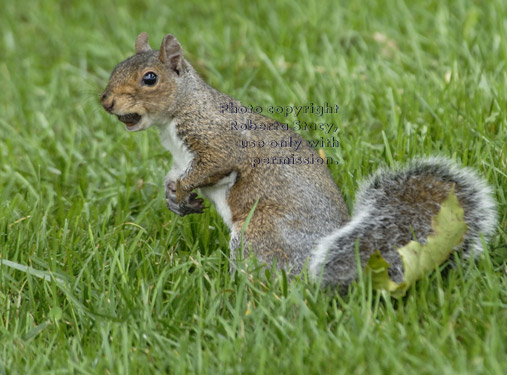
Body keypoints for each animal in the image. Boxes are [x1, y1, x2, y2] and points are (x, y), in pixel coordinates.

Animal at [101, 33, 498, 290]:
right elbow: (178, 174)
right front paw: (174, 196)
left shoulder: (218, 139)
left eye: (149, 78)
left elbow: (215, 164)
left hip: (260, 234)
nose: (105, 101)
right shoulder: (180, 154)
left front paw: (183, 189)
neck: (178, 112)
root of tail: (313, 266)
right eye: (116, 66)